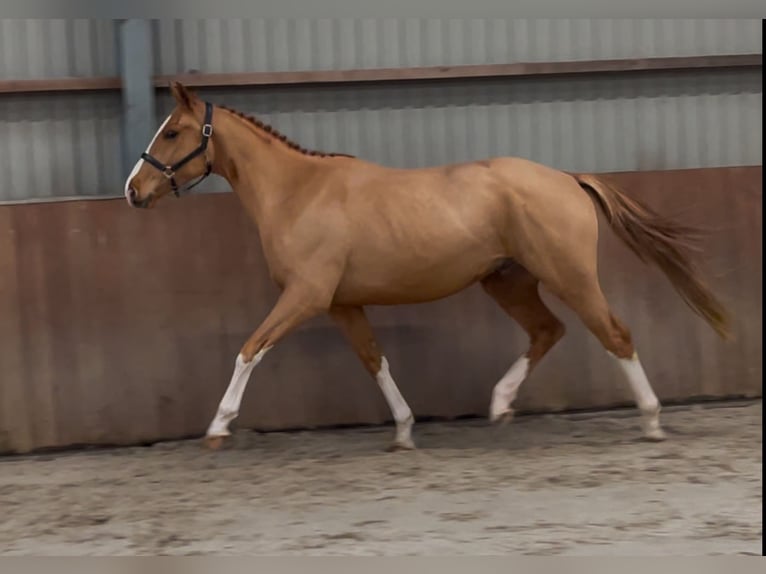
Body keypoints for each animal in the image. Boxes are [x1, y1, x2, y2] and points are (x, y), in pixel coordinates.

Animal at [124, 83, 732, 452]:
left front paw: (217, 428)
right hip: (507, 281)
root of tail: (567, 178)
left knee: (615, 334)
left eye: (171, 131)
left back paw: (651, 421)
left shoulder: (306, 296)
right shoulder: (343, 303)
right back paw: (500, 404)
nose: (133, 190)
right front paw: (403, 431)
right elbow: (375, 361)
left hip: (571, 277)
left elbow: (249, 349)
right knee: (547, 331)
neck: (300, 192)